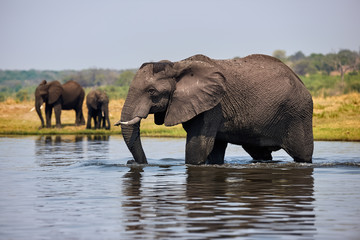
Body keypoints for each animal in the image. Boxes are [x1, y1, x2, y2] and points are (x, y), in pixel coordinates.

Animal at [116, 54, 314, 165]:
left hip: (298, 113)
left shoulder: (213, 106)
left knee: (302, 154)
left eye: (152, 91)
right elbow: (214, 150)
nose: (131, 161)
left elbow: (198, 147)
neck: (177, 65)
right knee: (260, 153)